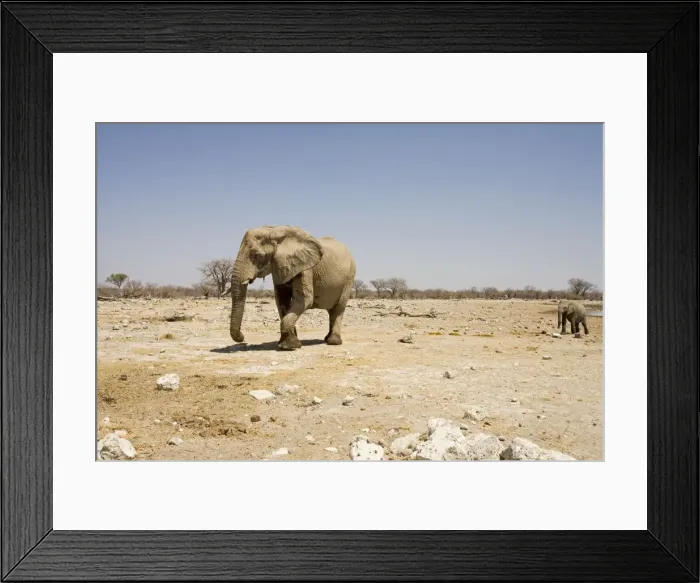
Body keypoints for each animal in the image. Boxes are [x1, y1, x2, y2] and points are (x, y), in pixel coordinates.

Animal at [225, 225, 356, 351]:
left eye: (258, 255)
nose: (243, 338)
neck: (275, 232)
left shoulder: (305, 268)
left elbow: (304, 300)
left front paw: (289, 346)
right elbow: (281, 301)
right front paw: (285, 343)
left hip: (349, 277)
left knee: (338, 308)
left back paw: (333, 341)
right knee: (331, 310)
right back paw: (326, 338)